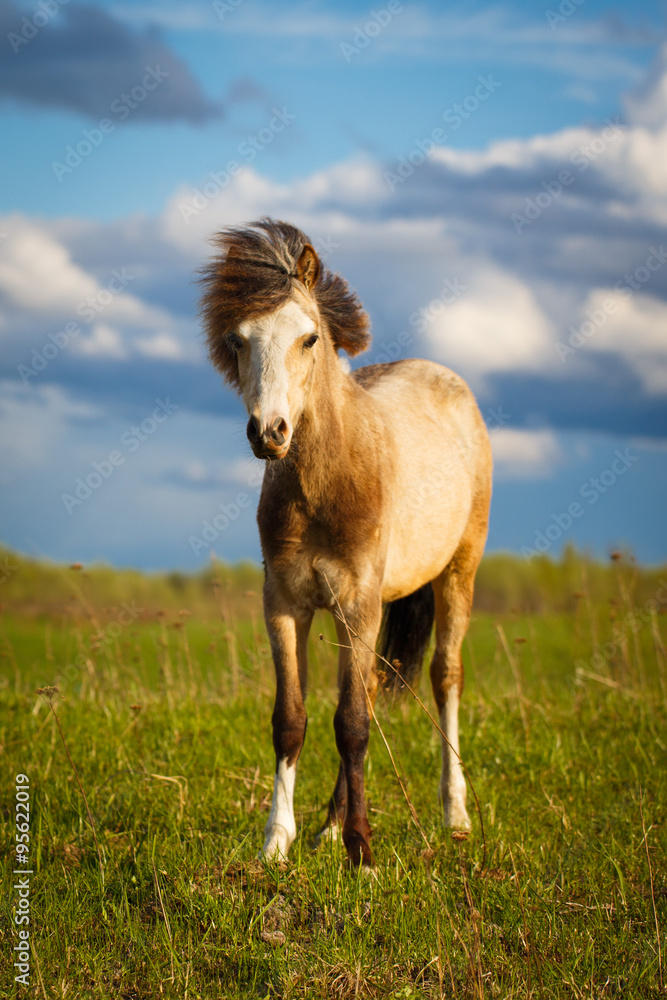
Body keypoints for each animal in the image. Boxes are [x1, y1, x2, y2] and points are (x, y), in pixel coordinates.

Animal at [200, 218, 492, 867]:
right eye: (238, 339)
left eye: (309, 338)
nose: (269, 432)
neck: (327, 485)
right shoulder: (287, 606)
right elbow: (293, 719)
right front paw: (277, 844)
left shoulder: (358, 605)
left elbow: (353, 724)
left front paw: (362, 854)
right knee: (371, 689)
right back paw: (327, 828)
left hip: (457, 575)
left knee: (445, 677)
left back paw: (455, 817)